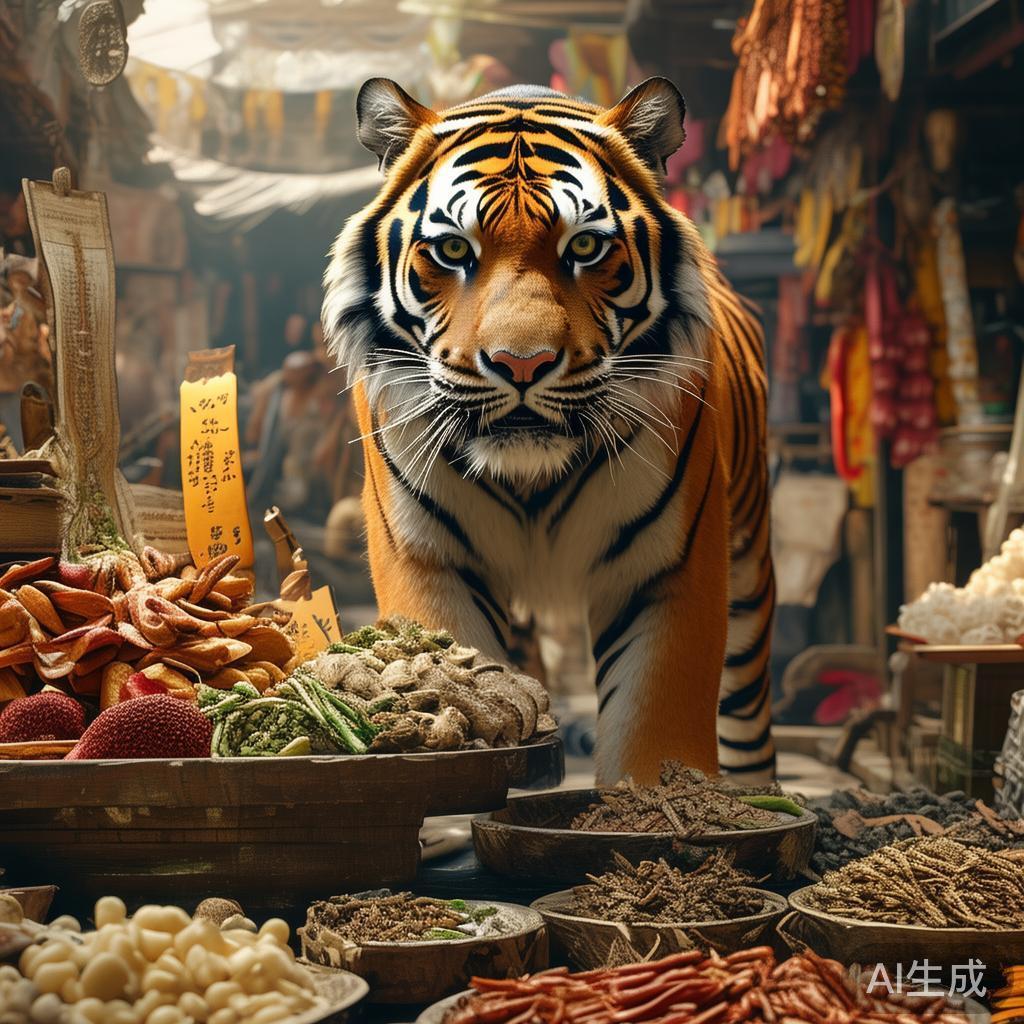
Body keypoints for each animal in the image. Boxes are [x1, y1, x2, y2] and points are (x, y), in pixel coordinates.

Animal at [322, 76, 775, 784]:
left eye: (584, 247)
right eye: (454, 249)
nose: (521, 363)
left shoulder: (667, 571)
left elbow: (653, 732)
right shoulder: (429, 559)